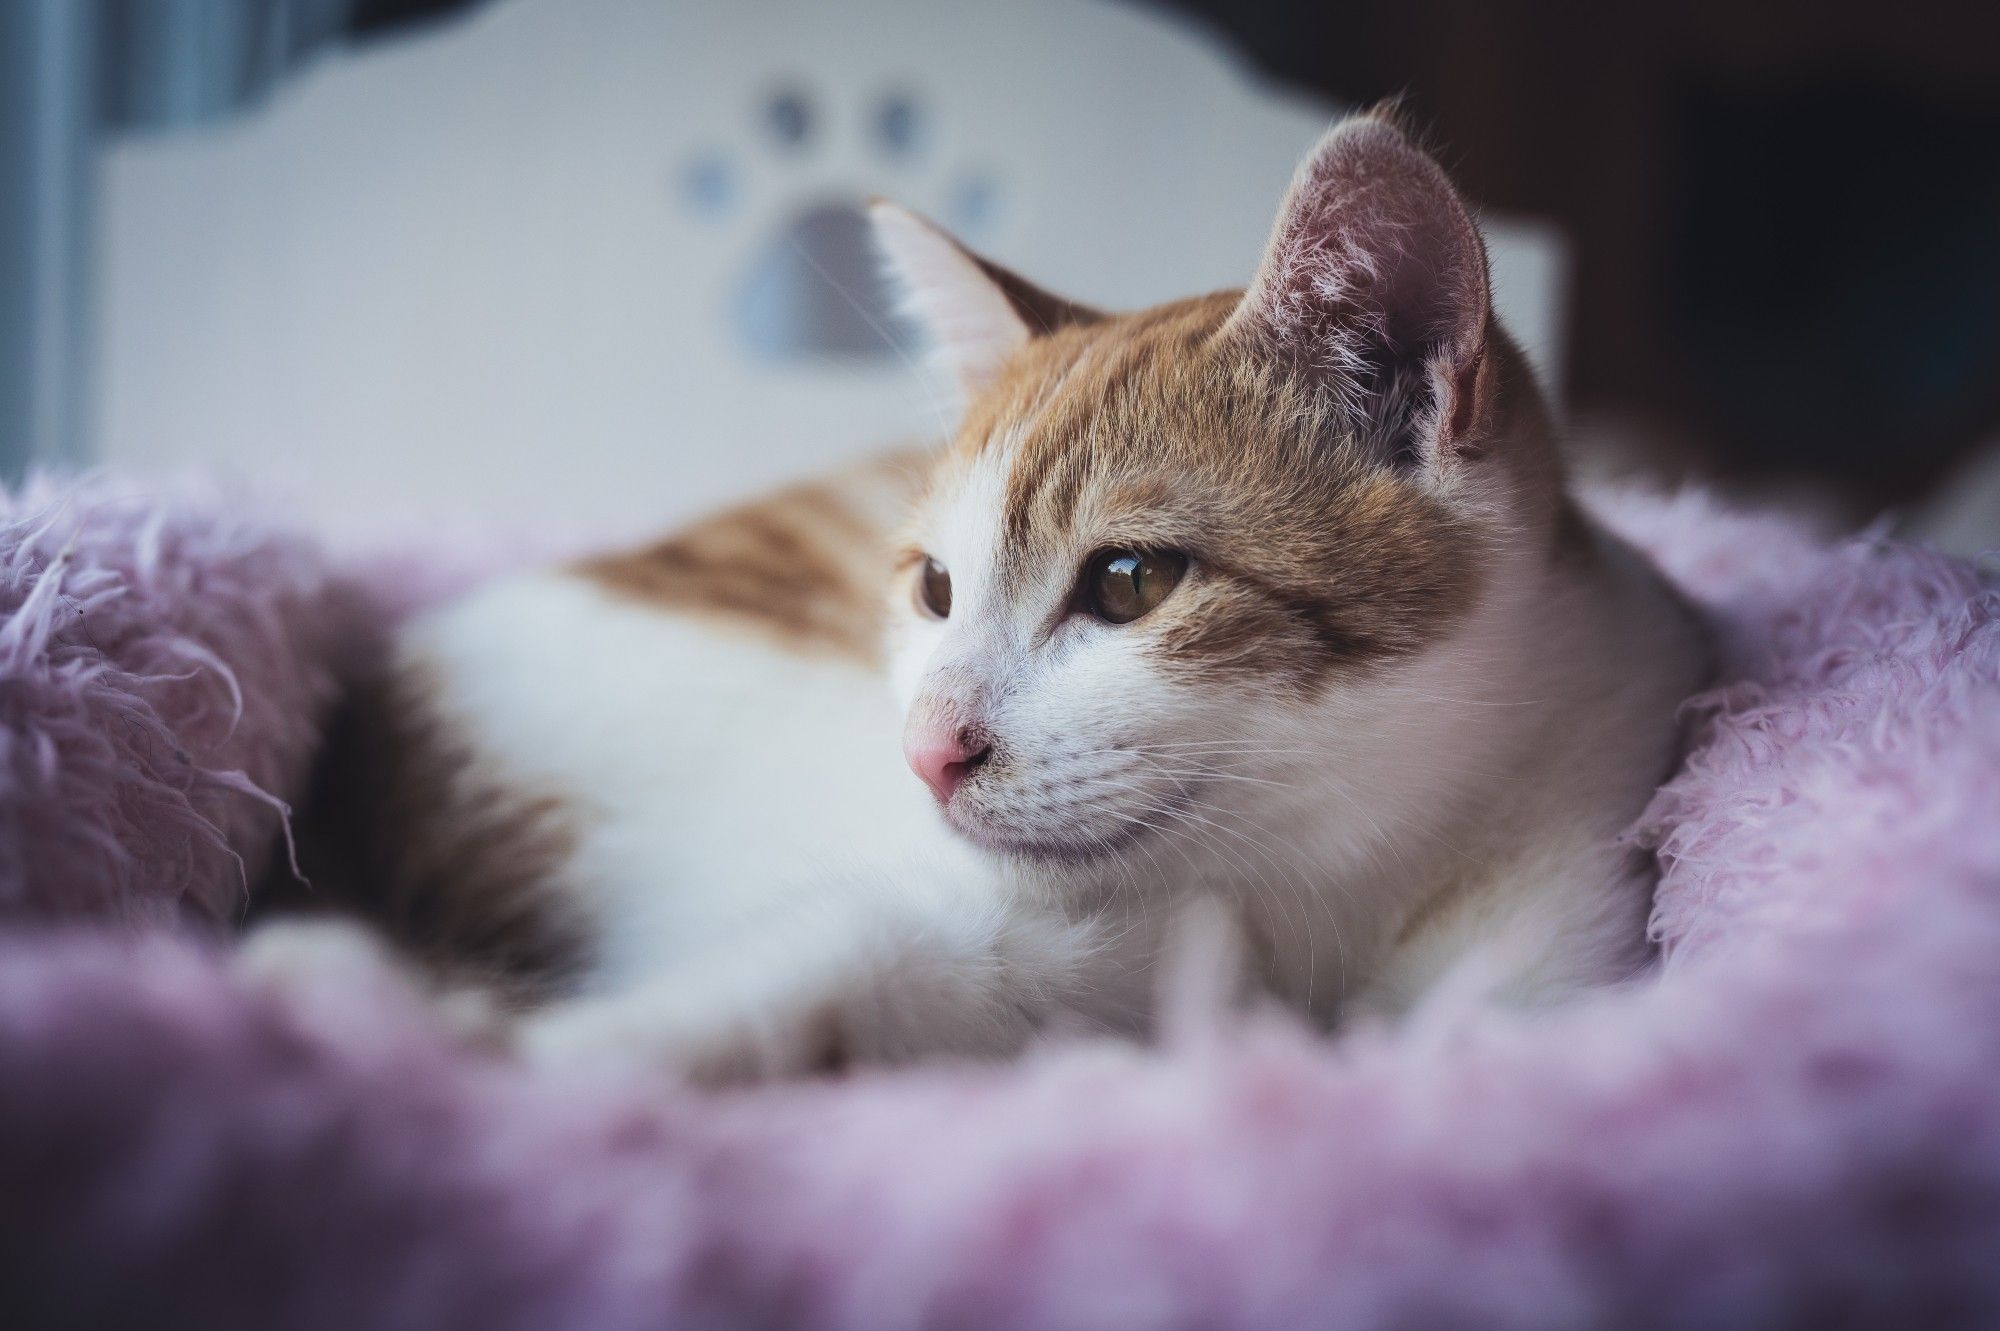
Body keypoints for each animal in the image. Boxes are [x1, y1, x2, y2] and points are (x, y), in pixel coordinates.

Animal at [282, 111, 1712, 1079]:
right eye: (933, 587)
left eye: (1129, 581)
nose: (925, 748)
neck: (1322, 878)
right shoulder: (1002, 925)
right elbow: (847, 962)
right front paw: (471, 1049)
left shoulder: (1570, 922)